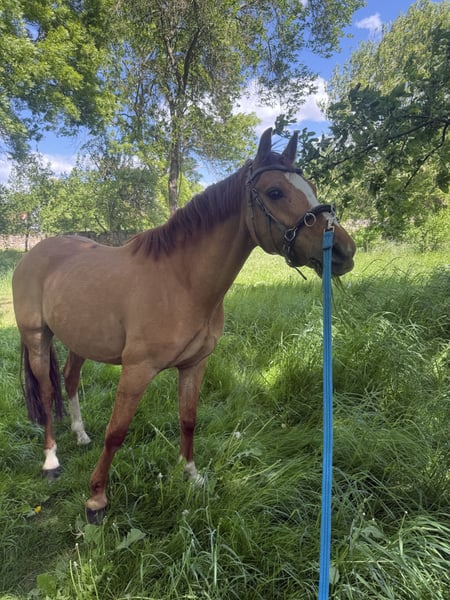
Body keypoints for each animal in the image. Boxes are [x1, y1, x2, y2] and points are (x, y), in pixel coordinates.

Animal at [12, 128, 356, 523]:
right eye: (275, 192)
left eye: (310, 186)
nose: (344, 250)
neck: (181, 280)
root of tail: (33, 254)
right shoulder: (137, 370)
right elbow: (117, 431)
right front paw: (97, 498)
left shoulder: (195, 365)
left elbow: (188, 418)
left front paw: (191, 475)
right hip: (37, 339)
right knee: (47, 392)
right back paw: (51, 460)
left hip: (79, 341)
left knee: (69, 380)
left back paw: (81, 435)